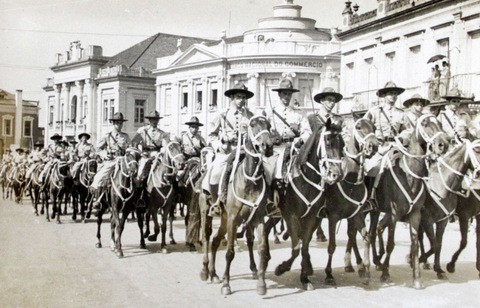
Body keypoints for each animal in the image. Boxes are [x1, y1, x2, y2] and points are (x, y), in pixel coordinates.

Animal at [272, 116, 344, 290]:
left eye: (343, 145)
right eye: (328, 142)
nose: (337, 175)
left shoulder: (311, 217)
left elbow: (304, 247)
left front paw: (305, 277)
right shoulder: (291, 216)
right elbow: (296, 249)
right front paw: (281, 268)